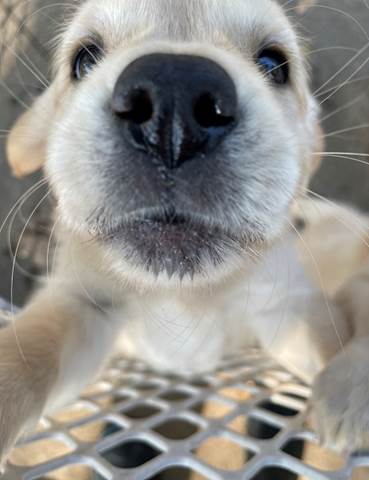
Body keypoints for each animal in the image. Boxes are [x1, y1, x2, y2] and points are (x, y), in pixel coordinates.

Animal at [2, 0, 366, 464]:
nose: (172, 97)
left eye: (274, 64)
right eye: (84, 59)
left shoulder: (290, 308)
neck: (183, 294)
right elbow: (30, 348)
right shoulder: (84, 301)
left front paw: (349, 389)